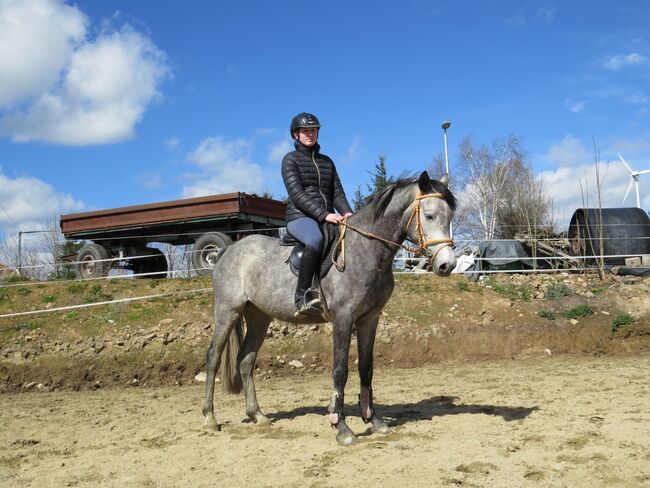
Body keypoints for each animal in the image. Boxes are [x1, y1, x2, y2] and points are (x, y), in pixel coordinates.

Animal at [202, 172, 456, 446]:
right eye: (429, 216)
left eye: (450, 216)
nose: (447, 265)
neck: (365, 250)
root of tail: (229, 250)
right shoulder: (343, 319)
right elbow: (340, 370)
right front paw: (341, 426)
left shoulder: (369, 319)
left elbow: (366, 368)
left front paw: (373, 420)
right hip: (228, 311)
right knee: (213, 357)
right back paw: (210, 418)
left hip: (259, 317)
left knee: (246, 360)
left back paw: (257, 415)